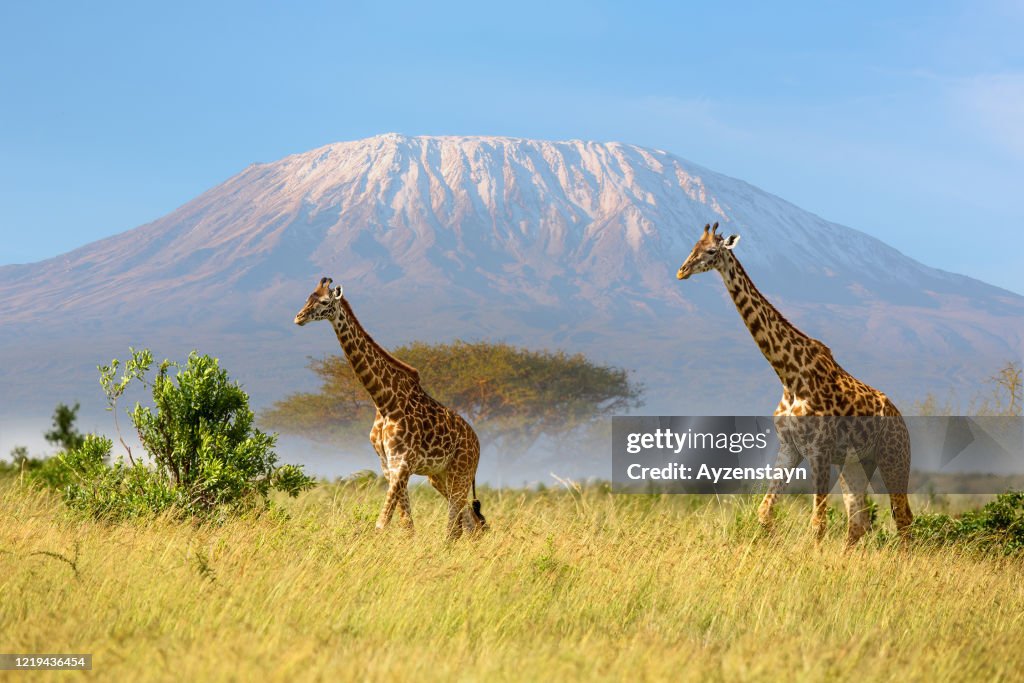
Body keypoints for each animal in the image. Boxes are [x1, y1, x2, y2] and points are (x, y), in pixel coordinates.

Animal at [294, 277, 487, 540]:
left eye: (324, 301)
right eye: (307, 298)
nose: (299, 317)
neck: (384, 402)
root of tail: (477, 443)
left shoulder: (402, 463)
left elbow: (383, 522)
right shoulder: (388, 465)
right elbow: (407, 524)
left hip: (461, 472)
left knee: (456, 523)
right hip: (439, 476)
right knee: (468, 520)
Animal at [676, 223, 913, 546]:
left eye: (712, 251)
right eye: (692, 247)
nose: (682, 271)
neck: (790, 376)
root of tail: (900, 419)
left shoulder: (819, 450)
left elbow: (818, 523)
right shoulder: (790, 447)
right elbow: (764, 512)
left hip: (893, 457)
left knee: (902, 517)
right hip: (856, 464)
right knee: (859, 521)